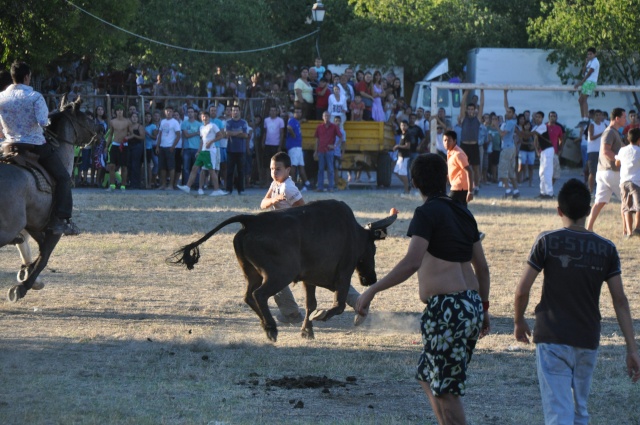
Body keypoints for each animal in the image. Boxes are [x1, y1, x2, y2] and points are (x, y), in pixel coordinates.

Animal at [0, 96, 98, 302]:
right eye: (87, 117)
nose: (99, 131)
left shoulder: (35, 225)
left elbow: (36, 253)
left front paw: (27, 276)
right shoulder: (55, 229)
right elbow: (44, 257)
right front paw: (22, 287)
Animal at [169, 199, 396, 342]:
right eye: (373, 248)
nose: (370, 279)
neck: (354, 233)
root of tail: (252, 221)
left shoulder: (309, 278)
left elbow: (311, 304)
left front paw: (307, 330)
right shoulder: (343, 275)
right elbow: (337, 305)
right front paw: (320, 317)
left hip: (252, 273)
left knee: (249, 295)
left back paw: (265, 325)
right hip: (280, 275)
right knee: (259, 294)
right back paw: (271, 329)